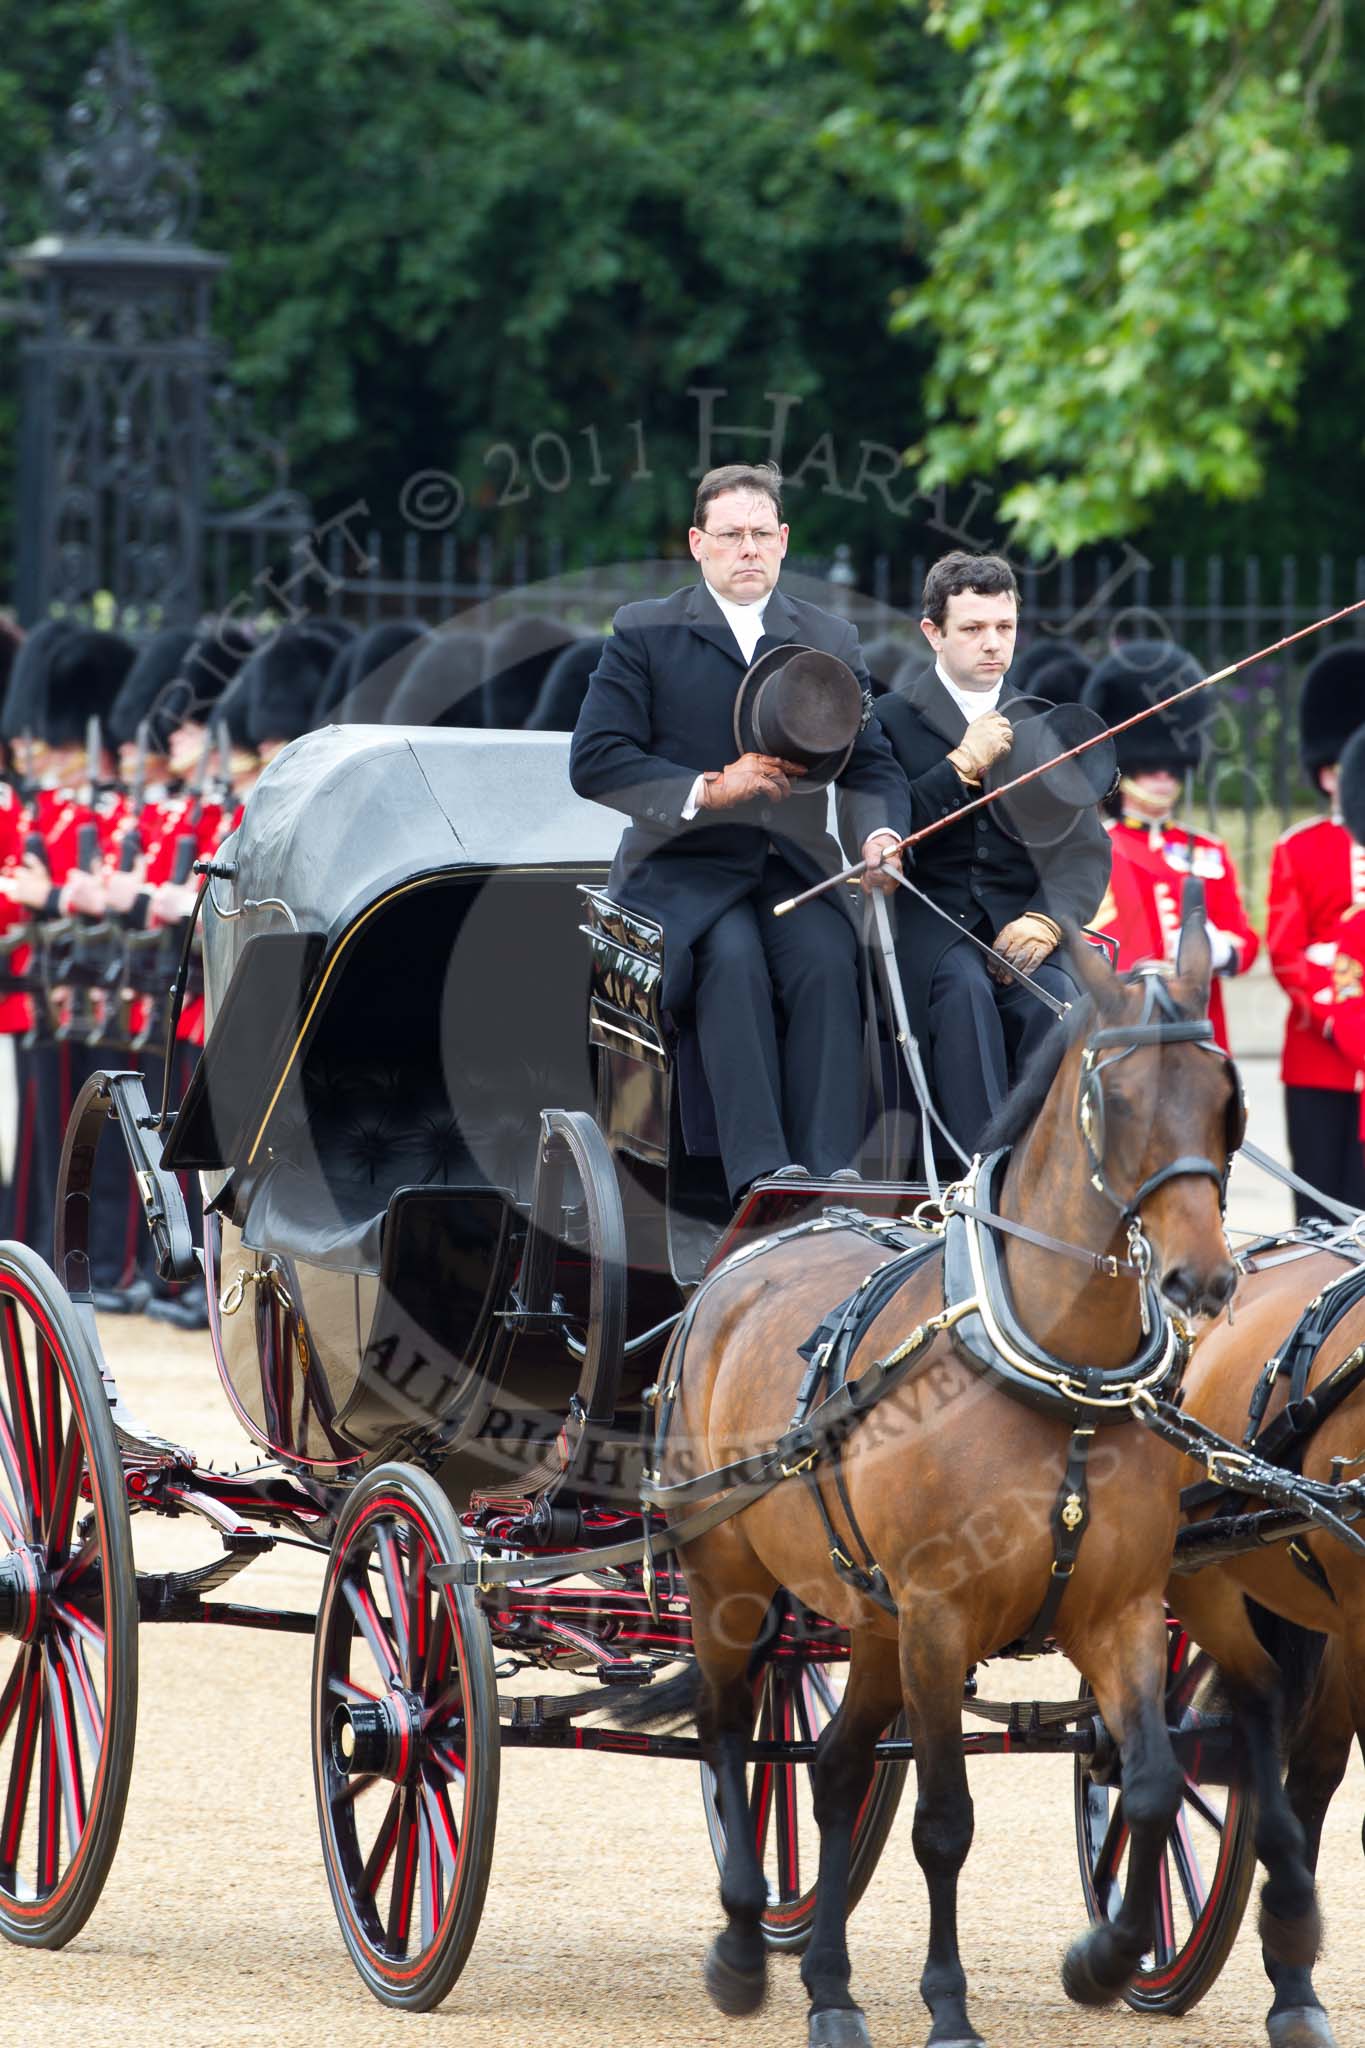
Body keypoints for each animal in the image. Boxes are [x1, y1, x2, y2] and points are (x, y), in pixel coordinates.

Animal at [654, 913, 1317, 2048]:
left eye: (1225, 1096)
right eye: (1114, 1098)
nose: (1201, 1280)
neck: (1059, 1376)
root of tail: (748, 1256)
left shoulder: (1119, 1610)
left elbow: (1148, 1782)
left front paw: (1103, 1957)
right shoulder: (936, 1617)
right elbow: (943, 1822)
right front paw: (949, 2005)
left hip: (864, 1618)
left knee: (829, 1771)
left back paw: (829, 1986)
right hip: (728, 1576)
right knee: (728, 1727)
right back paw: (741, 1944)